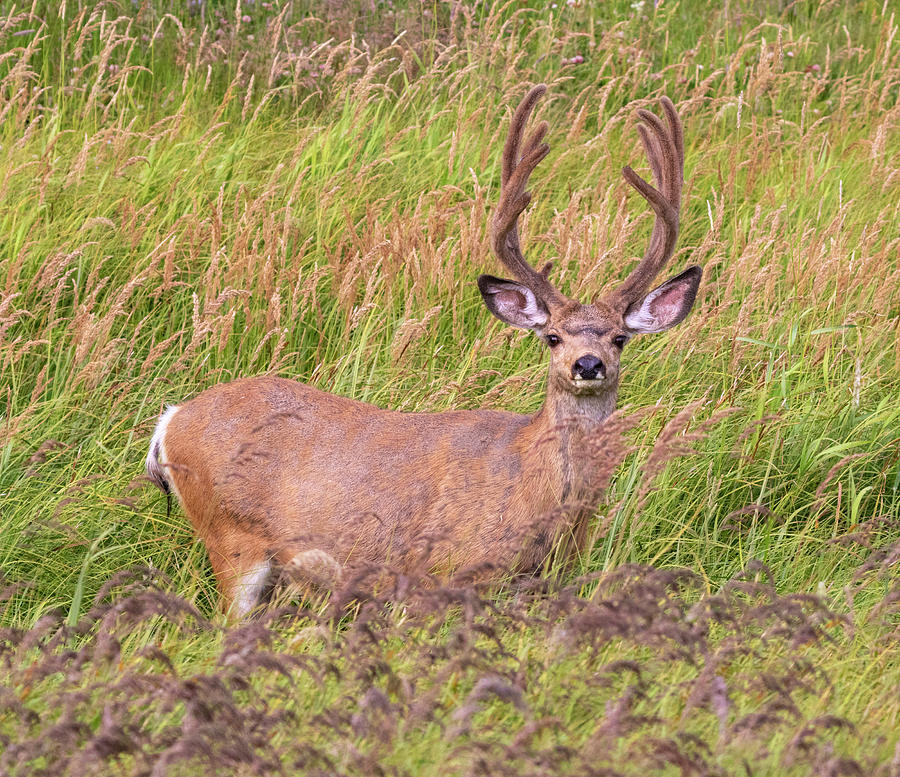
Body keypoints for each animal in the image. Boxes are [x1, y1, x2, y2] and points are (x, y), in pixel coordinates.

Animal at [144, 85, 700, 616]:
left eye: (619, 336)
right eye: (553, 336)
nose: (588, 364)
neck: (534, 493)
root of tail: (171, 420)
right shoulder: (441, 571)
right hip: (230, 534)